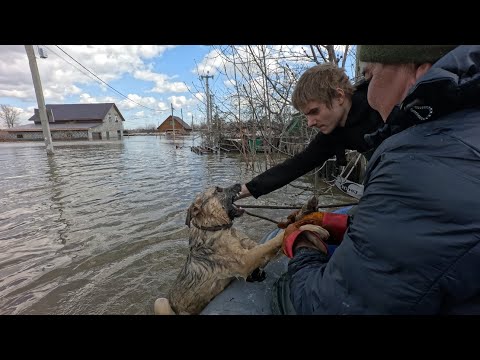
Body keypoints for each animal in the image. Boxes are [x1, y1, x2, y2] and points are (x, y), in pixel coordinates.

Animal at [155, 184, 284, 314]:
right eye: (218, 190)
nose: (239, 184)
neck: (217, 227)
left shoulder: (251, 247)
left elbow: (267, 247)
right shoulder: (244, 260)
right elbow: (267, 245)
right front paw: (285, 233)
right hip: (161, 302)